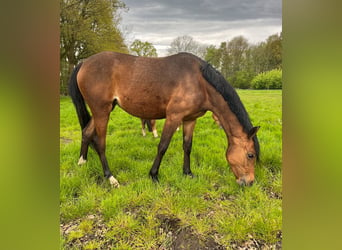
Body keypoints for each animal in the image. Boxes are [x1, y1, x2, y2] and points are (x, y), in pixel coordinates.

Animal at [68, 51, 260, 188]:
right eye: (250, 155)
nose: (250, 182)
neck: (199, 81)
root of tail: (84, 62)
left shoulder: (190, 120)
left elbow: (187, 146)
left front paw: (187, 173)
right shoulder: (173, 118)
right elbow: (162, 146)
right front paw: (153, 175)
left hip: (103, 110)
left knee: (86, 132)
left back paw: (82, 162)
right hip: (102, 111)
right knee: (100, 143)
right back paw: (110, 177)